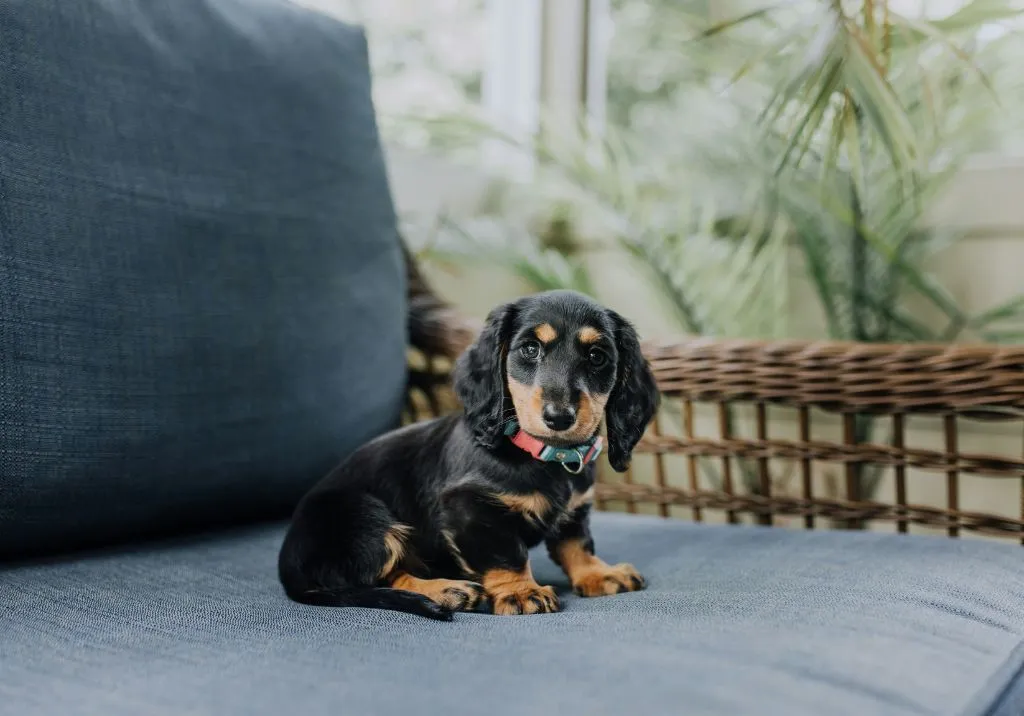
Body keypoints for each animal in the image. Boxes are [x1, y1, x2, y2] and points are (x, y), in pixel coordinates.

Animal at [278, 290, 655, 622]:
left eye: (597, 356)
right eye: (530, 349)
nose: (559, 418)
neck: (542, 454)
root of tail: (288, 567)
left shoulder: (575, 510)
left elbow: (577, 543)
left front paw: (597, 574)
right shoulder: (471, 508)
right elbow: (506, 555)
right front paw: (521, 592)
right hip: (362, 516)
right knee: (381, 576)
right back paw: (448, 590)